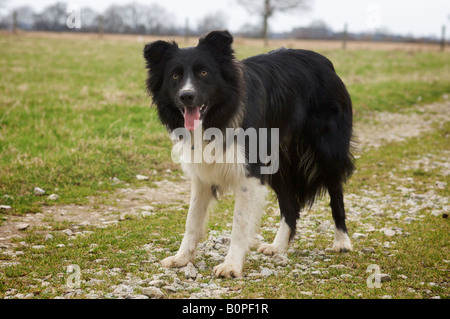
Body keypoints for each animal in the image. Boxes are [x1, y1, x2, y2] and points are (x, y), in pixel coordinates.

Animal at [144, 30, 356, 280]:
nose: (187, 96)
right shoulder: (202, 173)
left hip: (326, 151)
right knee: (290, 206)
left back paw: (342, 241)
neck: (218, 116)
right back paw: (277, 246)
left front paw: (231, 266)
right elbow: (192, 220)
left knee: (336, 193)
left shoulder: (249, 172)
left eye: (204, 72)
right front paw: (181, 258)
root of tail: (325, 62)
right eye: (175, 76)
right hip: (278, 162)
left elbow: (240, 223)